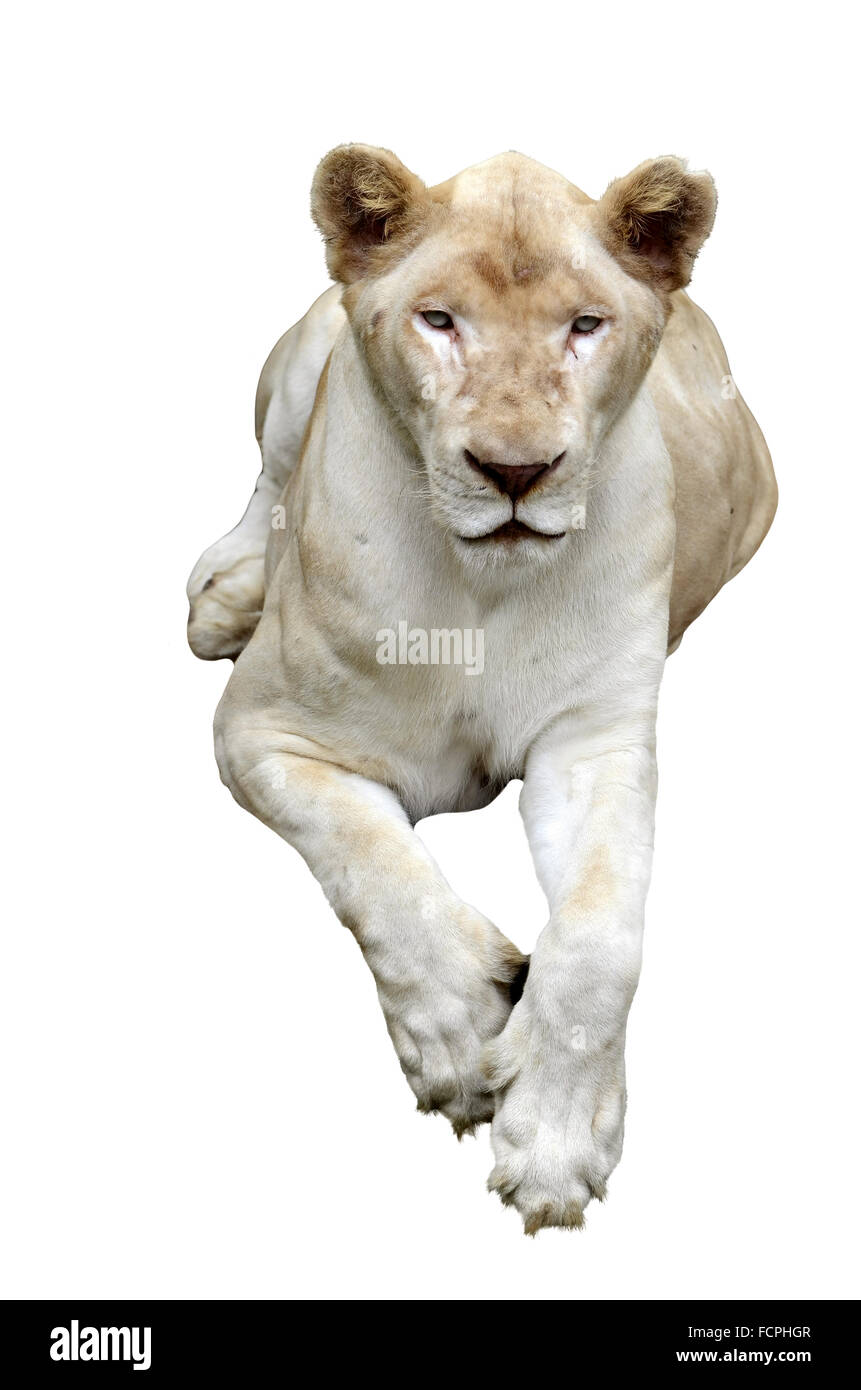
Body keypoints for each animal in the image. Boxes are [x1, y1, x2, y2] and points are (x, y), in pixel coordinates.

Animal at [187, 146, 776, 1233]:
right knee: (270, 477)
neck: (479, 588)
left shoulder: (594, 744)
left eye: (584, 325)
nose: (515, 471)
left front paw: (555, 1137)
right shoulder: (262, 729)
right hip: (298, 364)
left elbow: (599, 936)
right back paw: (230, 593)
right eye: (439, 320)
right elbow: (373, 860)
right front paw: (462, 1033)